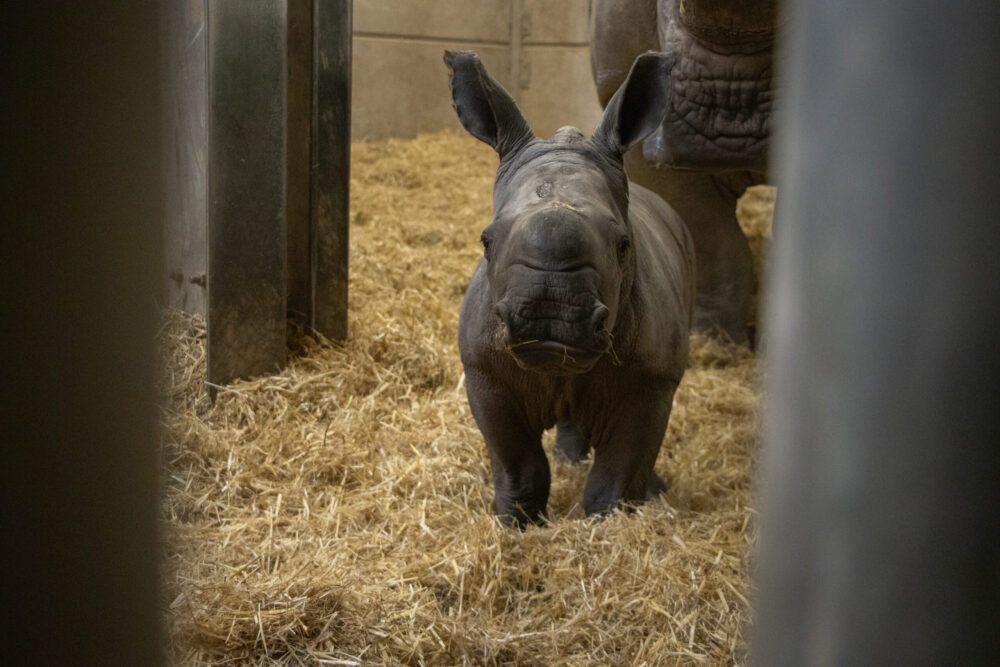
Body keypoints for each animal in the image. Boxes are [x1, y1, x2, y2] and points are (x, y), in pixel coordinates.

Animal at [445, 50, 695, 527]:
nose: (550, 310)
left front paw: (607, 525)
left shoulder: (651, 382)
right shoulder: (485, 371)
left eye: (623, 245)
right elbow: (519, 466)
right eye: (486, 240)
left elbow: (617, 474)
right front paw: (517, 525)